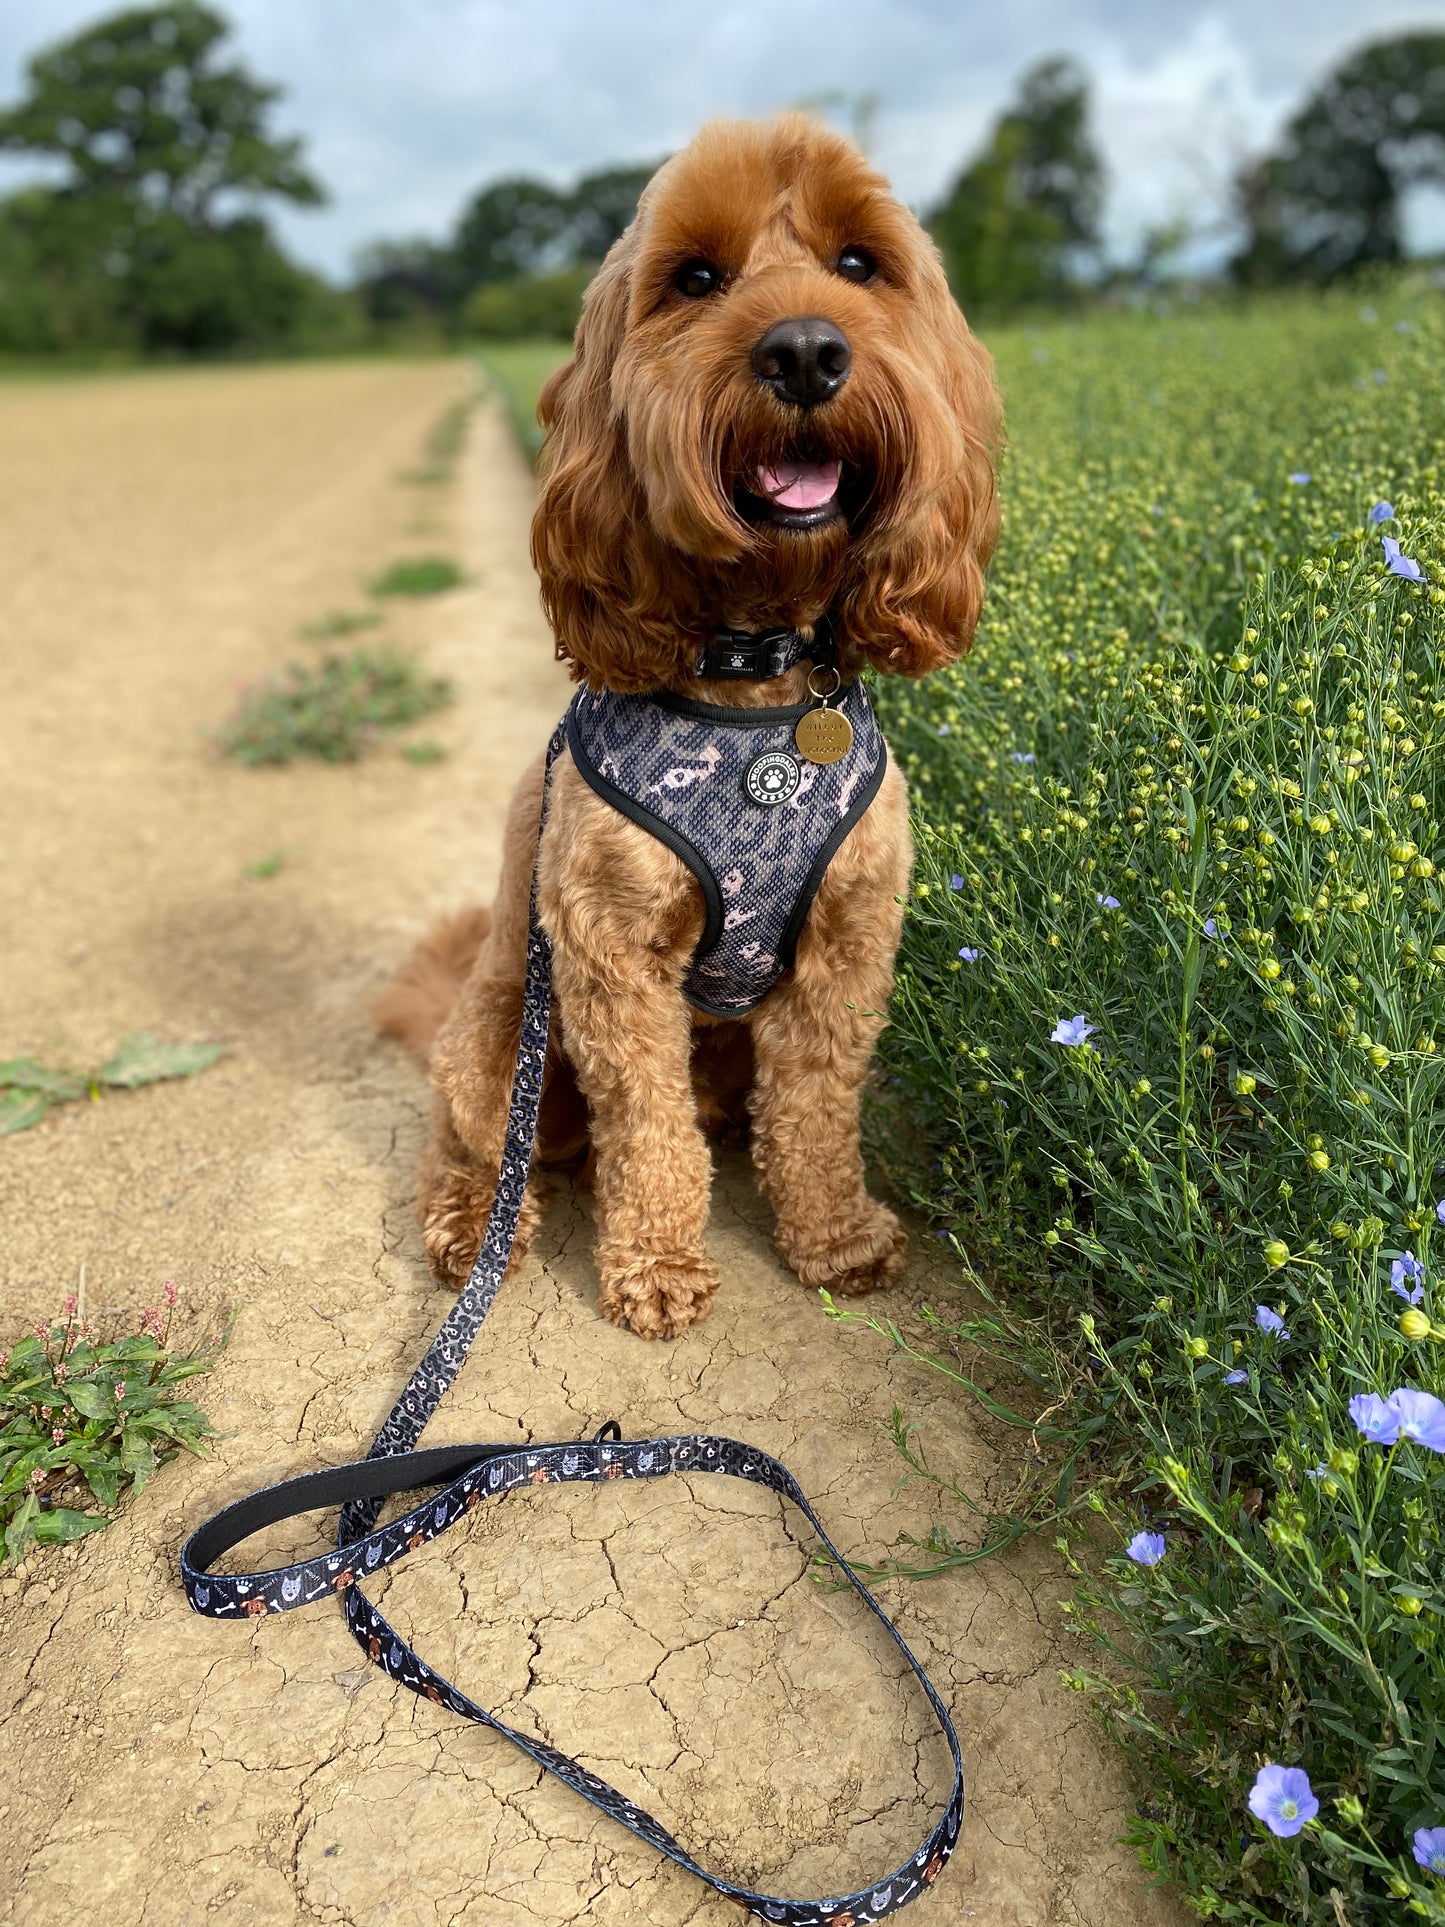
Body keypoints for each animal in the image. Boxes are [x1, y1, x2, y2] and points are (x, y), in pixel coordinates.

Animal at [377, 114, 1001, 1340]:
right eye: (696, 279)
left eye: (859, 263)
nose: (804, 353)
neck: (751, 683)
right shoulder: (608, 956)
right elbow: (646, 1129)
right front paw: (656, 1267)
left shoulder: (845, 942)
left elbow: (815, 1110)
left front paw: (835, 1237)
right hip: (494, 1038)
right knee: (477, 1148)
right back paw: (474, 1228)